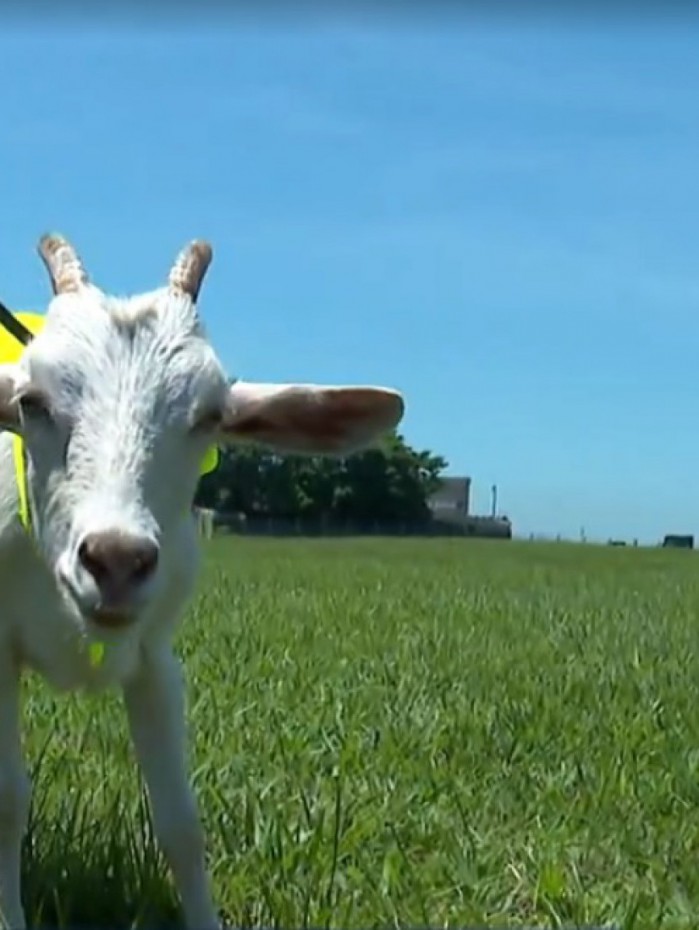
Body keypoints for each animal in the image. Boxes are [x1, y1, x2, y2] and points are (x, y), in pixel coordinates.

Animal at [0, 234, 405, 929]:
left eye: (210, 416)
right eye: (32, 402)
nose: (116, 560)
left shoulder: (153, 658)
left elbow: (181, 824)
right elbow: (7, 802)